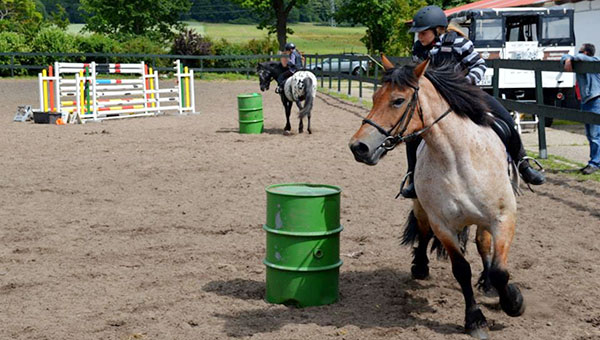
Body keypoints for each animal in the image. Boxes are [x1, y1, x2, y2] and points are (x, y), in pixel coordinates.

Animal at [350, 57, 524, 338]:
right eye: (375, 97)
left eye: (398, 100)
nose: (359, 147)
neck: (458, 160)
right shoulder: (442, 225)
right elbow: (461, 269)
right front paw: (474, 319)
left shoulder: (503, 217)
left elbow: (500, 271)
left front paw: (513, 302)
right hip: (421, 209)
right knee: (422, 233)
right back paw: (420, 267)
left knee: (482, 243)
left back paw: (487, 284)